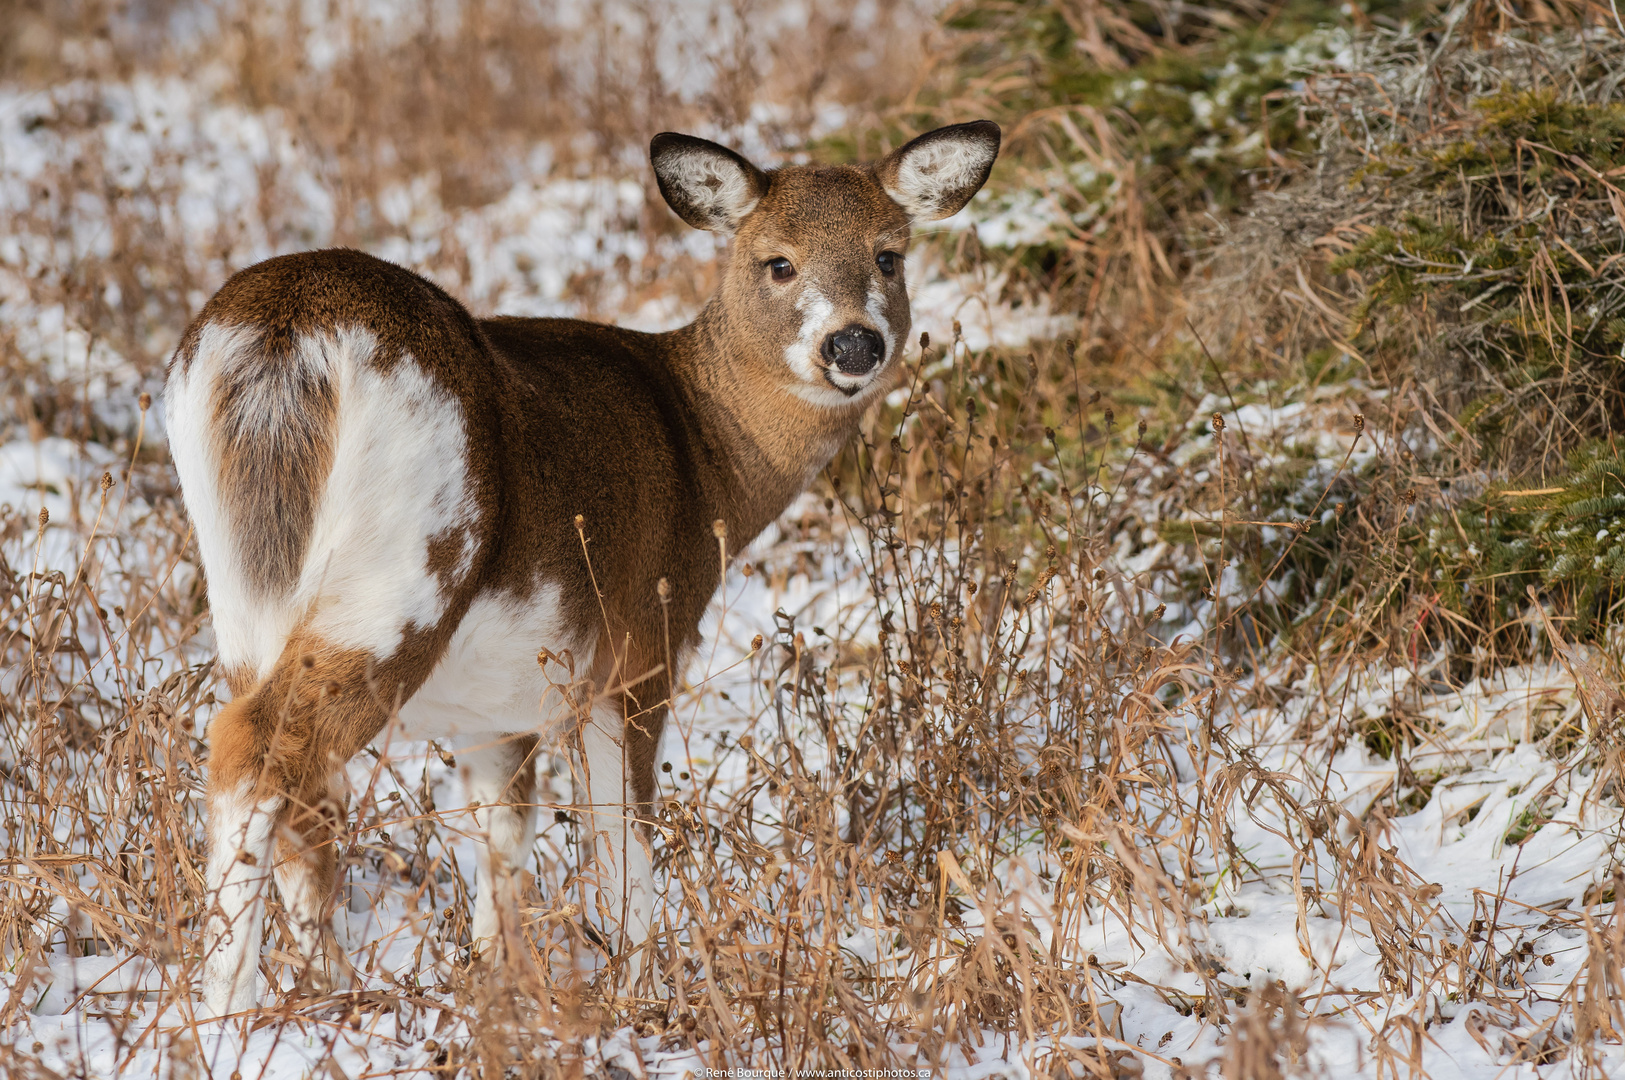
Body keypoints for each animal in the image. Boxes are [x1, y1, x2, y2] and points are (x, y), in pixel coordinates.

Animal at [168, 121, 1001, 1013]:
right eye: (777, 261)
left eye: (888, 255)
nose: (852, 344)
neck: (706, 454)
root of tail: (283, 335)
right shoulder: (637, 648)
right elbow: (621, 836)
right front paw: (642, 993)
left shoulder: (496, 711)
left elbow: (503, 842)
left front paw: (498, 986)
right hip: (401, 569)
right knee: (255, 745)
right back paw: (226, 1004)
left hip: (246, 599)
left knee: (301, 787)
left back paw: (323, 989)